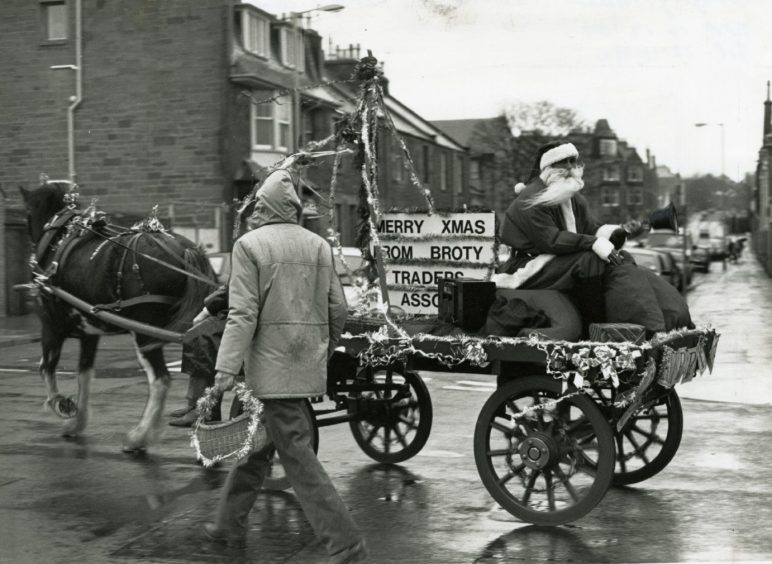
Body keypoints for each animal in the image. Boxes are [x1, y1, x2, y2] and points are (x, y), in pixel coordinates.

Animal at [19, 183, 217, 452]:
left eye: (27, 213)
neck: (57, 241)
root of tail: (185, 249)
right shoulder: (89, 333)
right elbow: (85, 375)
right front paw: (77, 422)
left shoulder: (51, 326)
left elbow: (46, 368)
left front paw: (61, 405)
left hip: (144, 332)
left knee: (161, 381)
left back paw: (138, 437)